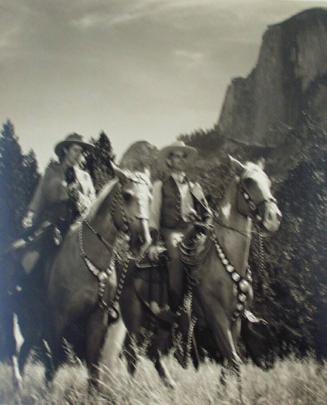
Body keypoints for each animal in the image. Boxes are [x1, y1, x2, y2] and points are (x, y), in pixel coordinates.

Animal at [105, 154, 282, 386]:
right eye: (249, 181)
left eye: (268, 181)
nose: (273, 218)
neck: (224, 260)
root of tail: (126, 257)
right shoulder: (217, 317)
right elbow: (234, 360)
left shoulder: (235, 320)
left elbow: (229, 362)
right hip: (133, 314)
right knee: (132, 355)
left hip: (163, 320)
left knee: (153, 352)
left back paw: (170, 386)